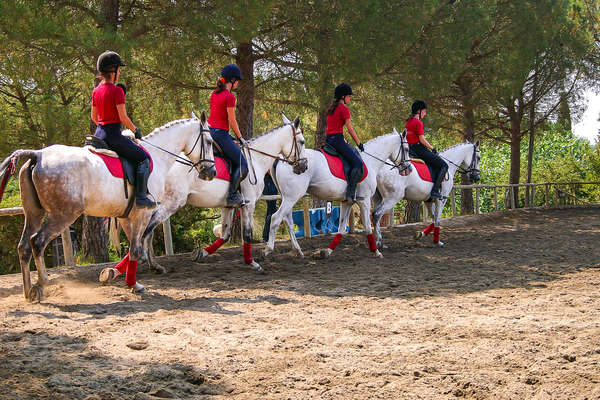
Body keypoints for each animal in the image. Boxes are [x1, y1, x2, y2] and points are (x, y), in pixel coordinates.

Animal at [0, 112, 216, 300]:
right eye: (209, 142)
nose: (211, 172)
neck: (158, 155)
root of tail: (38, 155)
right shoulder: (143, 213)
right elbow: (136, 248)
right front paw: (134, 284)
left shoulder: (126, 216)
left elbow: (135, 248)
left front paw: (126, 278)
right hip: (63, 215)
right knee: (37, 242)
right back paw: (42, 283)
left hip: (34, 213)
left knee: (24, 246)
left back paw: (28, 291)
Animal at [122, 112, 308, 276]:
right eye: (302, 141)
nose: (304, 166)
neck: (255, 159)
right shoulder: (249, 204)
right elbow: (246, 235)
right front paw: (254, 263)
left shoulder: (228, 206)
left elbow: (225, 235)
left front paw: (201, 253)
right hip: (172, 202)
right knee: (147, 228)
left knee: (146, 230)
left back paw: (146, 263)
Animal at [264, 129, 412, 260]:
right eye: (406, 149)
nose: (409, 169)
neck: (370, 160)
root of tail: (282, 158)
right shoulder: (364, 200)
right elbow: (367, 227)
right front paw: (376, 252)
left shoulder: (347, 202)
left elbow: (341, 228)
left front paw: (327, 252)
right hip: (292, 197)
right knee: (276, 218)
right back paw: (268, 249)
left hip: (288, 197)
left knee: (288, 220)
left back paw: (298, 251)